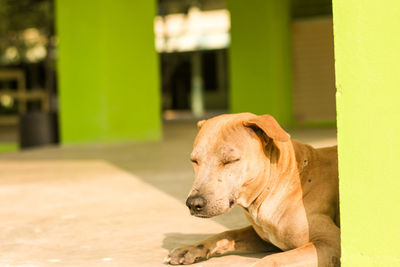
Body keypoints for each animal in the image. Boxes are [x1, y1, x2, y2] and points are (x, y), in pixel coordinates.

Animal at [164, 113, 340, 267]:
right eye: (194, 161)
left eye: (229, 160)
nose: (193, 203)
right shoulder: (262, 237)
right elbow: (229, 233)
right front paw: (191, 248)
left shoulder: (330, 241)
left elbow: (273, 259)